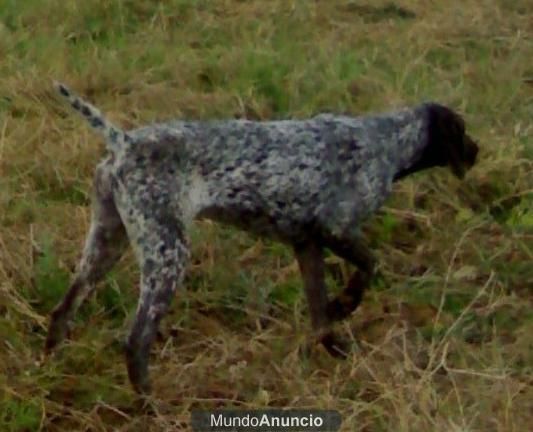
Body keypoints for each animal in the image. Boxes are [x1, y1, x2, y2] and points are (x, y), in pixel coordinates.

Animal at [45, 79, 478, 394]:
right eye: (463, 131)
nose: (477, 152)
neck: (385, 142)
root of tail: (124, 143)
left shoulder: (307, 244)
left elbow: (320, 314)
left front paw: (336, 348)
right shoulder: (335, 227)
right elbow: (369, 266)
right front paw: (346, 305)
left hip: (106, 243)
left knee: (62, 311)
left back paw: (51, 366)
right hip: (168, 255)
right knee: (136, 341)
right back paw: (149, 402)